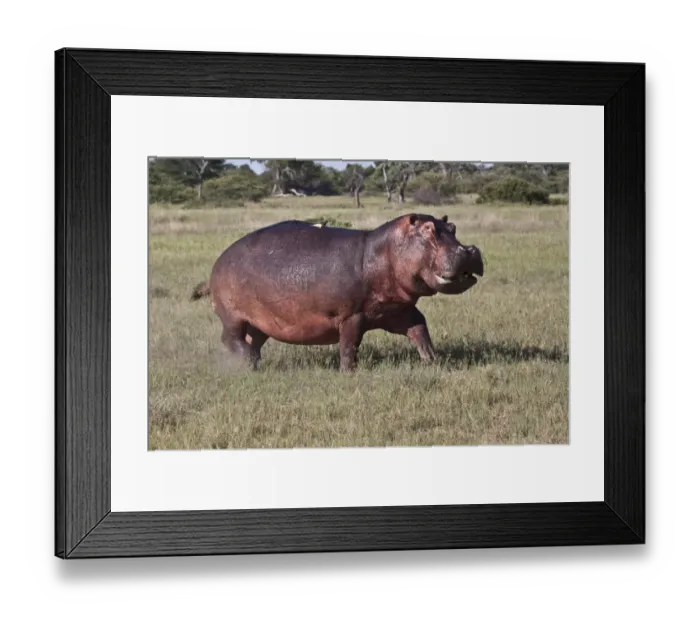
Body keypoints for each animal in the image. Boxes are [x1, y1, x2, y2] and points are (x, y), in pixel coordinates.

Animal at [191, 213, 484, 372]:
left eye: (453, 228)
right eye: (428, 230)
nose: (469, 250)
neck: (383, 252)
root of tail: (217, 262)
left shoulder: (398, 310)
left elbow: (420, 330)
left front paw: (433, 361)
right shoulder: (351, 315)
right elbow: (349, 344)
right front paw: (349, 373)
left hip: (262, 322)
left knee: (253, 340)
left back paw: (253, 364)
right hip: (233, 315)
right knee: (230, 338)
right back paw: (249, 360)